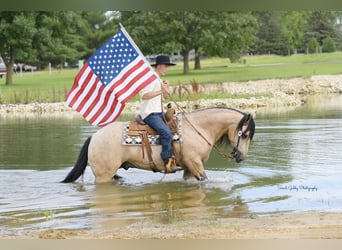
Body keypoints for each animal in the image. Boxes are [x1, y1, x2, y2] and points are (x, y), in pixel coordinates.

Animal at [61, 106, 255, 184]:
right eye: (244, 134)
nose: (241, 157)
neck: (198, 128)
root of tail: (94, 137)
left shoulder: (189, 168)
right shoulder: (194, 163)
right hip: (103, 175)